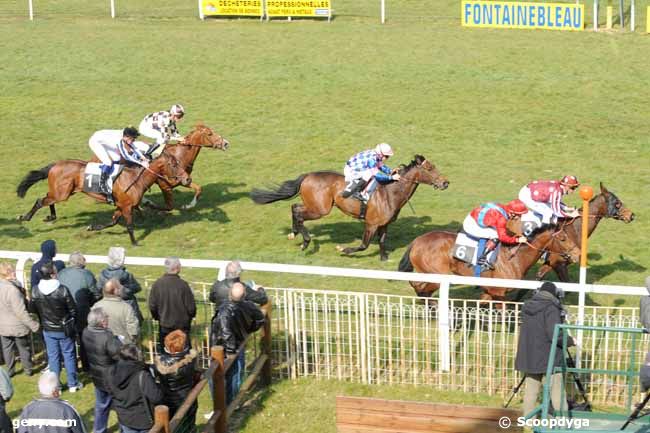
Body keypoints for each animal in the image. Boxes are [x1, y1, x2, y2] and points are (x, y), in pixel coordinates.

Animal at [16, 149, 189, 245]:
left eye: (178, 162)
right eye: (174, 165)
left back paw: (50, 216)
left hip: (63, 192)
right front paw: (135, 243)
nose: (187, 179)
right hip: (61, 194)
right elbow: (129, 225)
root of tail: (56, 164)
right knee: (40, 201)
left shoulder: (121, 206)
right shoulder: (126, 206)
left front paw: (92, 227)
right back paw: (25, 217)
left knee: (47, 199)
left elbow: (113, 222)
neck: (135, 179)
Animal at [251, 155, 448, 260]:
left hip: (313, 205)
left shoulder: (384, 224)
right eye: (430, 168)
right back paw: (305, 241)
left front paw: (384, 258)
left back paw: (294, 233)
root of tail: (307, 176)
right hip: (320, 209)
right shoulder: (371, 223)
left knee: (294, 207)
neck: (390, 192)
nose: (445, 182)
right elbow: (363, 245)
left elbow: (382, 241)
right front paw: (344, 250)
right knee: (299, 213)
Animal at [398, 223, 580, 300]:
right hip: (438, 275)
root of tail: (416, 241)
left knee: (419, 286)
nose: (578, 254)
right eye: (563, 239)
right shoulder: (498, 291)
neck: (515, 257)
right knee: (420, 287)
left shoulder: (489, 291)